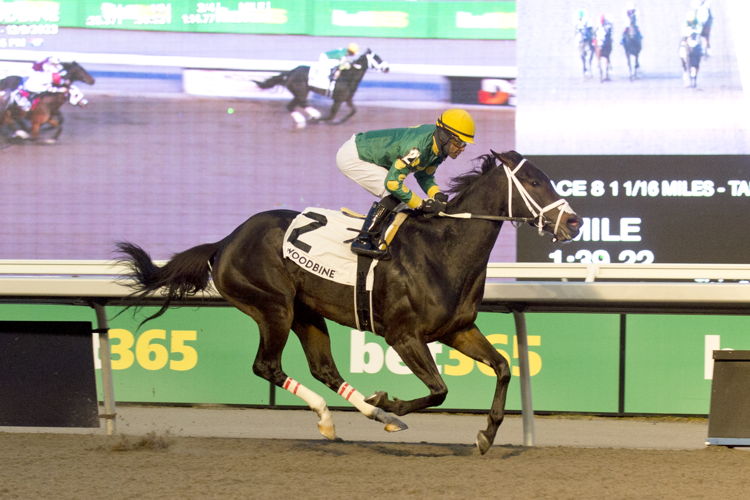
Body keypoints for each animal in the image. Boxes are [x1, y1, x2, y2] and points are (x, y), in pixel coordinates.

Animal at [116, 150, 580, 456]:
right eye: (534, 182)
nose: (573, 222)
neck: (444, 249)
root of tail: (226, 241)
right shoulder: (403, 335)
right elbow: (439, 390)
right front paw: (390, 401)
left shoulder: (457, 329)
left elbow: (502, 366)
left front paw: (486, 434)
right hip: (274, 307)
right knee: (267, 366)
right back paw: (348, 415)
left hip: (306, 312)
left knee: (323, 368)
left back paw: (367, 417)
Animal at [256, 49, 390, 128]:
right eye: (377, 59)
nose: (387, 68)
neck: (348, 76)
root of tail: (290, 72)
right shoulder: (338, 99)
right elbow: (331, 115)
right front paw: (321, 119)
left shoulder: (347, 99)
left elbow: (353, 111)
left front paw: (340, 120)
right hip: (301, 91)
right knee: (301, 102)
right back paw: (314, 114)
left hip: (298, 92)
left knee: (291, 106)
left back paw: (301, 119)